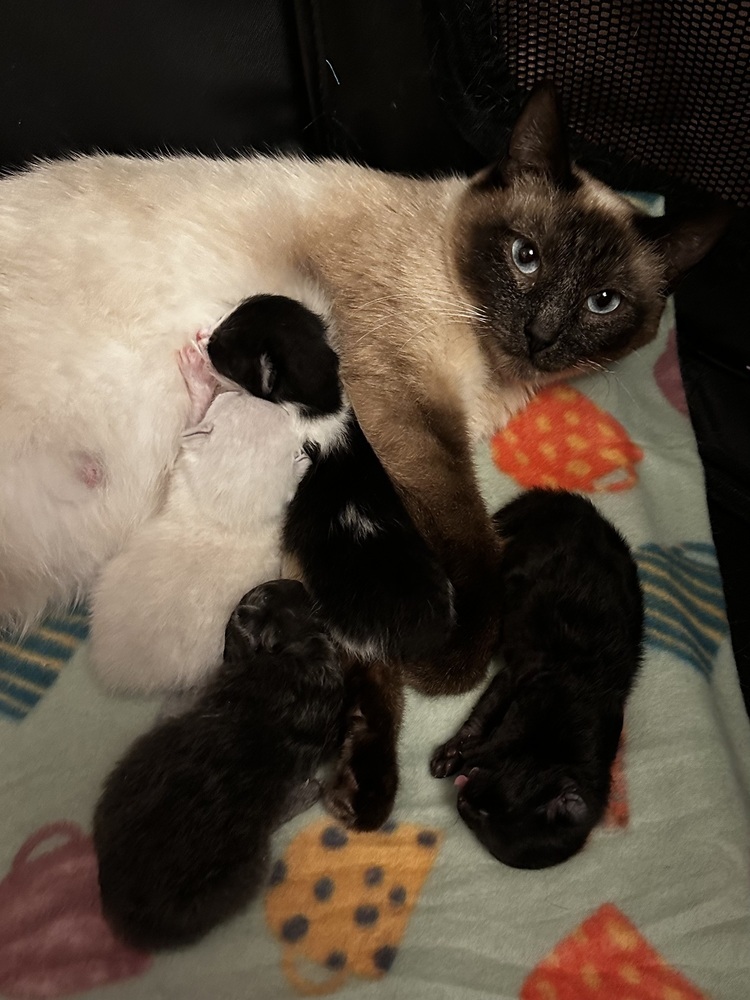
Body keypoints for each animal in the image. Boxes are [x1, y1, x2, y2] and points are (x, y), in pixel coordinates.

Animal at [0, 84, 728, 696]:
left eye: (603, 302)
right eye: (526, 257)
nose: (540, 334)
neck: (494, 376)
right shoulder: (400, 402)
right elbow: (471, 539)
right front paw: (452, 657)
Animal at [432, 490, 644, 868]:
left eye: (481, 823)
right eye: (486, 813)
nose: (462, 802)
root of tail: (586, 512)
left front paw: (462, 757)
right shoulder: (522, 680)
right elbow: (483, 722)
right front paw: (450, 755)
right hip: (521, 560)